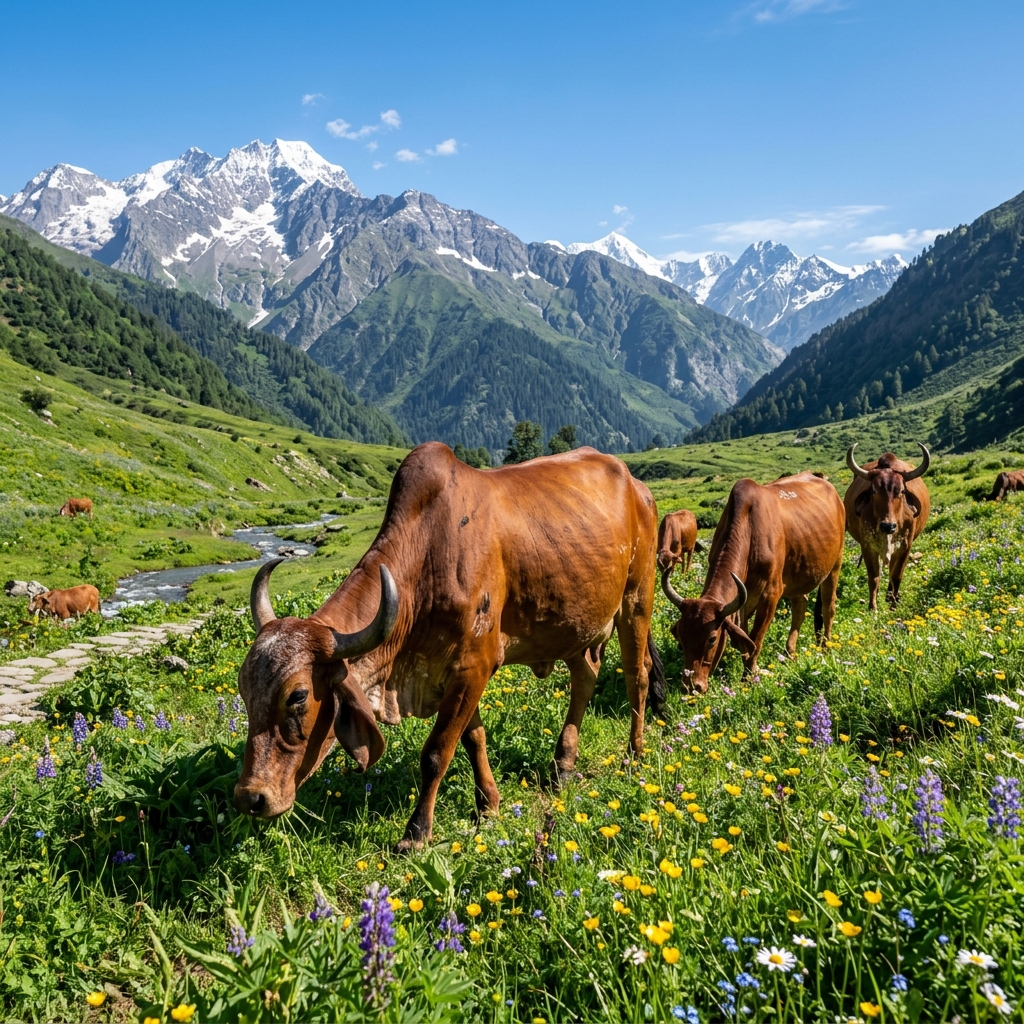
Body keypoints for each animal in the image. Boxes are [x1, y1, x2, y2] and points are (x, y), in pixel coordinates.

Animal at [233, 442, 665, 850]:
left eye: (298, 696)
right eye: (244, 691)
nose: (250, 798)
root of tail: (638, 486)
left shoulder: (474, 665)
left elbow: (436, 753)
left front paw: (416, 833)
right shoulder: (450, 673)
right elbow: (473, 739)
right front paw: (488, 805)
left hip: (637, 598)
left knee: (637, 676)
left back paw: (634, 755)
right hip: (577, 625)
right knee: (585, 679)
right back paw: (563, 765)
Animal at [660, 472, 845, 693]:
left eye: (712, 639)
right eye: (680, 636)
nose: (691, 686)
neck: (749, 530)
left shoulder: (770, 595)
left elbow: (755, 639)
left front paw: (748, 678)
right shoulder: (743, 601)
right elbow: (746, 638)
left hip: (835, 565)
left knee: (828, 607)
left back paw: (825, 648)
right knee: (800, 607)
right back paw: (790, 653)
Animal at [844, 444, 930, 611]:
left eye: (901, 491)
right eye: (874, 490)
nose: (887, 526)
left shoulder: (905, 546)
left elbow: (896, 576)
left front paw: (893, 604)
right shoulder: (868, 547)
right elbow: (874, 577)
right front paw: (872, 607)